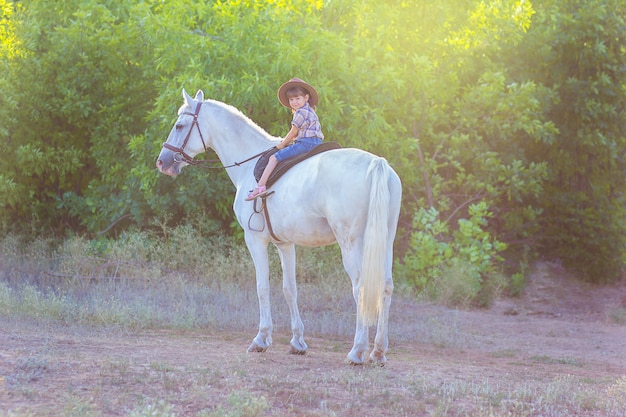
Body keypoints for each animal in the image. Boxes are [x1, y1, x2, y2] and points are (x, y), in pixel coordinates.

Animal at [156, 88, 400, 364]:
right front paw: (297, 342)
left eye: (179, 125)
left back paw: (357, 351)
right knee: (386, 287)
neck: (248, 165)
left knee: (360, 288)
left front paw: (261, 339)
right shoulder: (285, 244)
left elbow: (262, 287)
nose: (163, 161)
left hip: (351, 243)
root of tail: (377, 164)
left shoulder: (255, 241)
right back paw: (378, 351)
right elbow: (289, 289)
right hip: (385, 242)